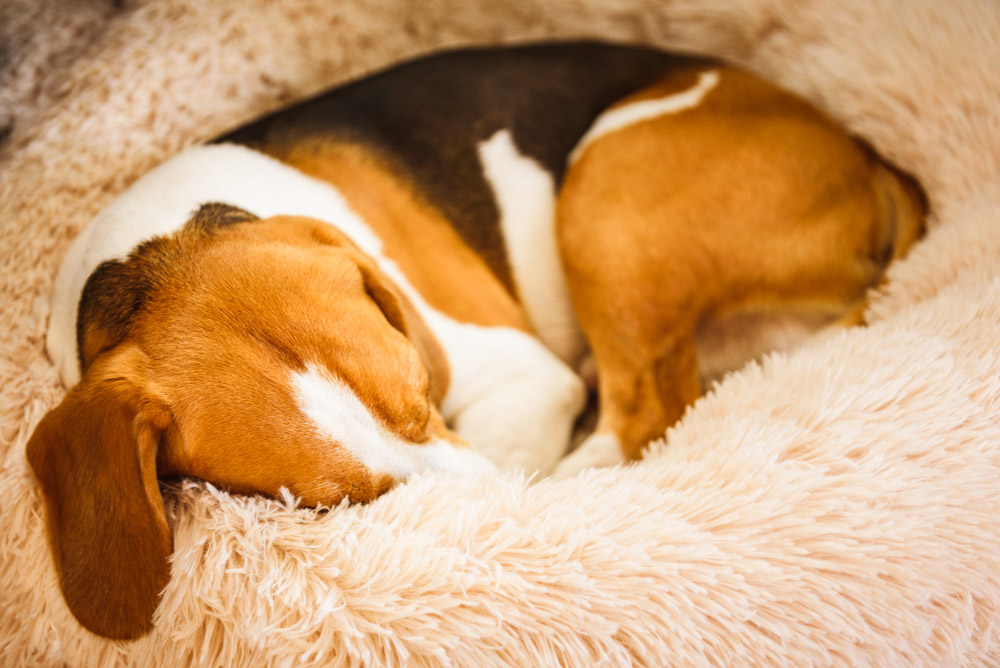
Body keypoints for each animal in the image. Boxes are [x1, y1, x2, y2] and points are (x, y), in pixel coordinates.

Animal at [27, 40, 924, 636]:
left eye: (425, 394)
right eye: (333, 505)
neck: (158, 246)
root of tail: (866, 159)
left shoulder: (527, 378)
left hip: (604, 186)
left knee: (646, 409)